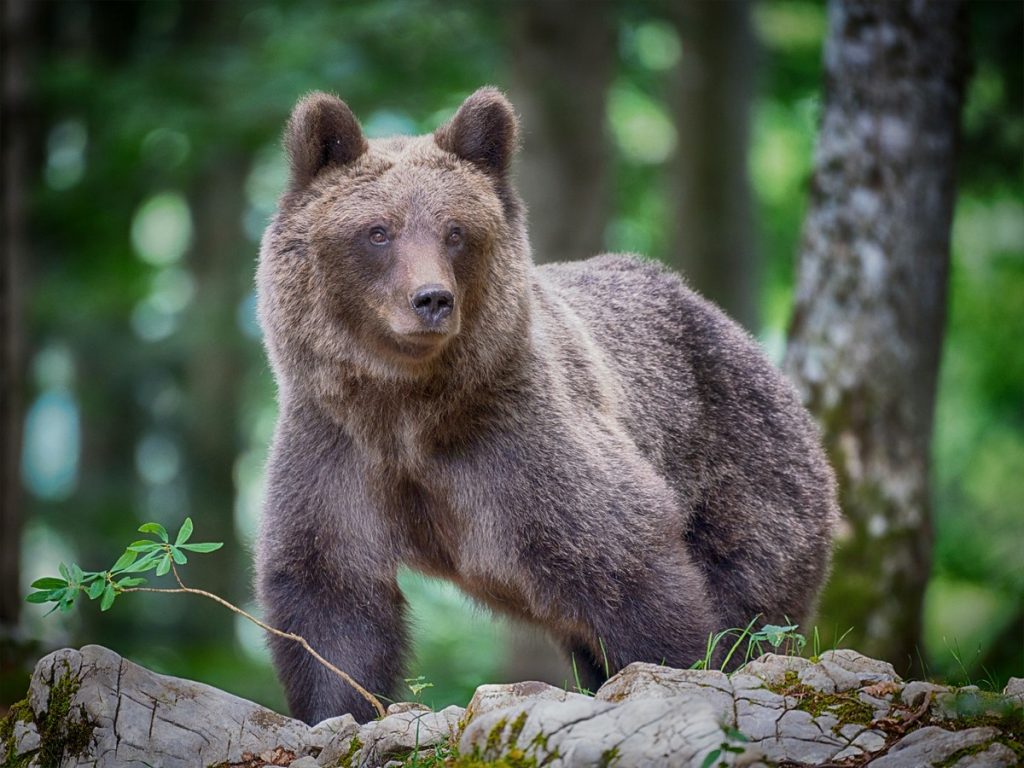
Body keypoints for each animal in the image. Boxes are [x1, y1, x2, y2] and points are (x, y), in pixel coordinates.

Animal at [251, 87, 835, 724]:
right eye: (378, 231)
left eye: (456, 230)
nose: (431, 299)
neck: (408, 410)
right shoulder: (337, 449)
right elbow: (332, 601)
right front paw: (335, 708)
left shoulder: (522, 445)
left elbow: (626, 562)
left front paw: (685, 666)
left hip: (744, 467)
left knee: (751, 592)